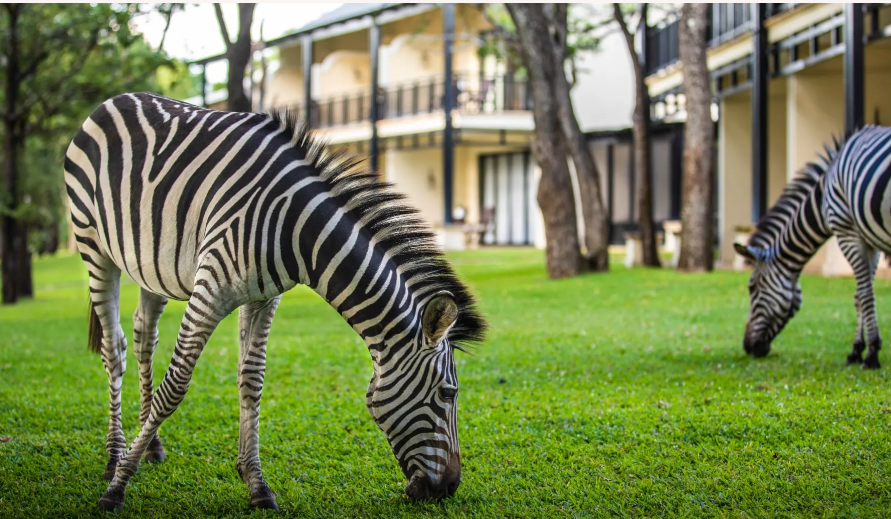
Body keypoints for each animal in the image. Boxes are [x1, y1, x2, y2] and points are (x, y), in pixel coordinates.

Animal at [64, 92, 488, 512]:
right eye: (448, 394)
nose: (450, 487)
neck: (296, 231)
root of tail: (120, 97)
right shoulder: (211, 287)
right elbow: (176, 385)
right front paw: (118, 486)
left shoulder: (264, 296)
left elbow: (252, 379)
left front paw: (256, 484)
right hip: (94, 246)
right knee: (114, 348)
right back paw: (114, 456)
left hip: (151, 265)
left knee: (143, 336)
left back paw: (150, 445)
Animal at [736, 125, 891, 370]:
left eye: (752, 287)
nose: (748, 346)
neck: (822, 197)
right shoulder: (868, 238)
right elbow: (860, 295)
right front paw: (856, 351)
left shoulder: (847, 231)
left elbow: (866, 295)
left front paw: (872, 353)